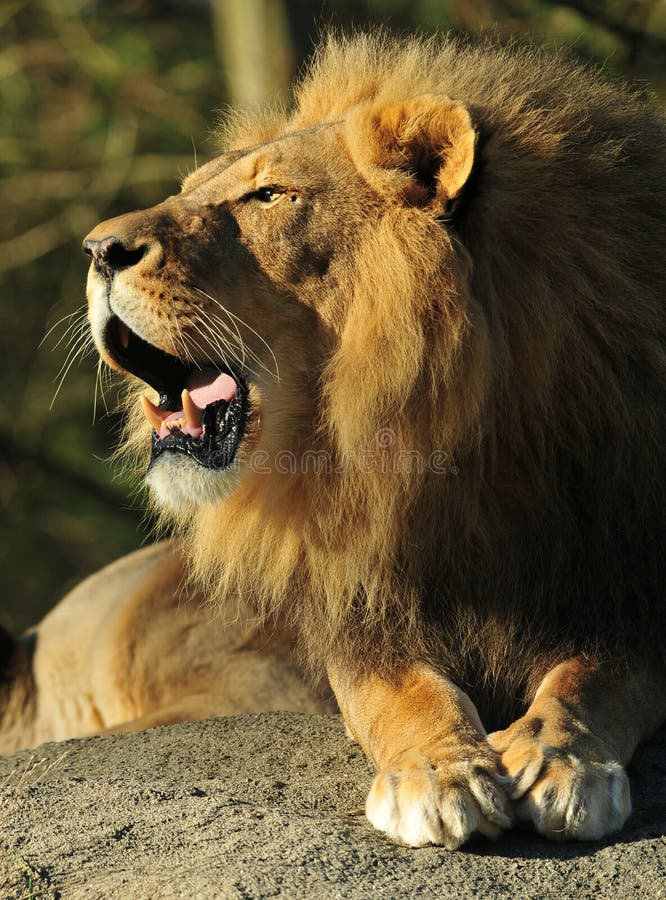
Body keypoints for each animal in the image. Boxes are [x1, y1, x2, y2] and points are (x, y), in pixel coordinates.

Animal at [80, 32, 665, 848]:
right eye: (191, 188)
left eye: (268, 196)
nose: (98, 249)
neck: (458, 445)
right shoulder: (365, 612)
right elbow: (402, 694)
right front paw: (440, 773)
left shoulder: (628, 581)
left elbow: (602, 677)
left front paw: (562, 759)